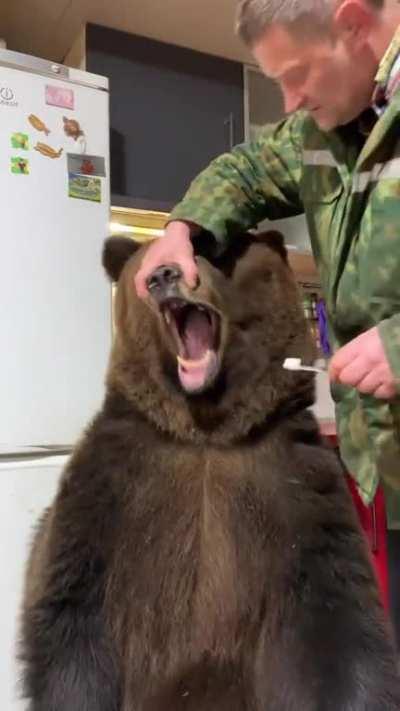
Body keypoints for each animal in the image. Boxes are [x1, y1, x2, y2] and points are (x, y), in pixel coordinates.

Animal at [19, 230, 400, 711]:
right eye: (150, 263)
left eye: (215, 249)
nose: (165, 275)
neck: (207, 431)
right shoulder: (110, 495)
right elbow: (73, 620)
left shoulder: (297, 493)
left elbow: (338, 636)